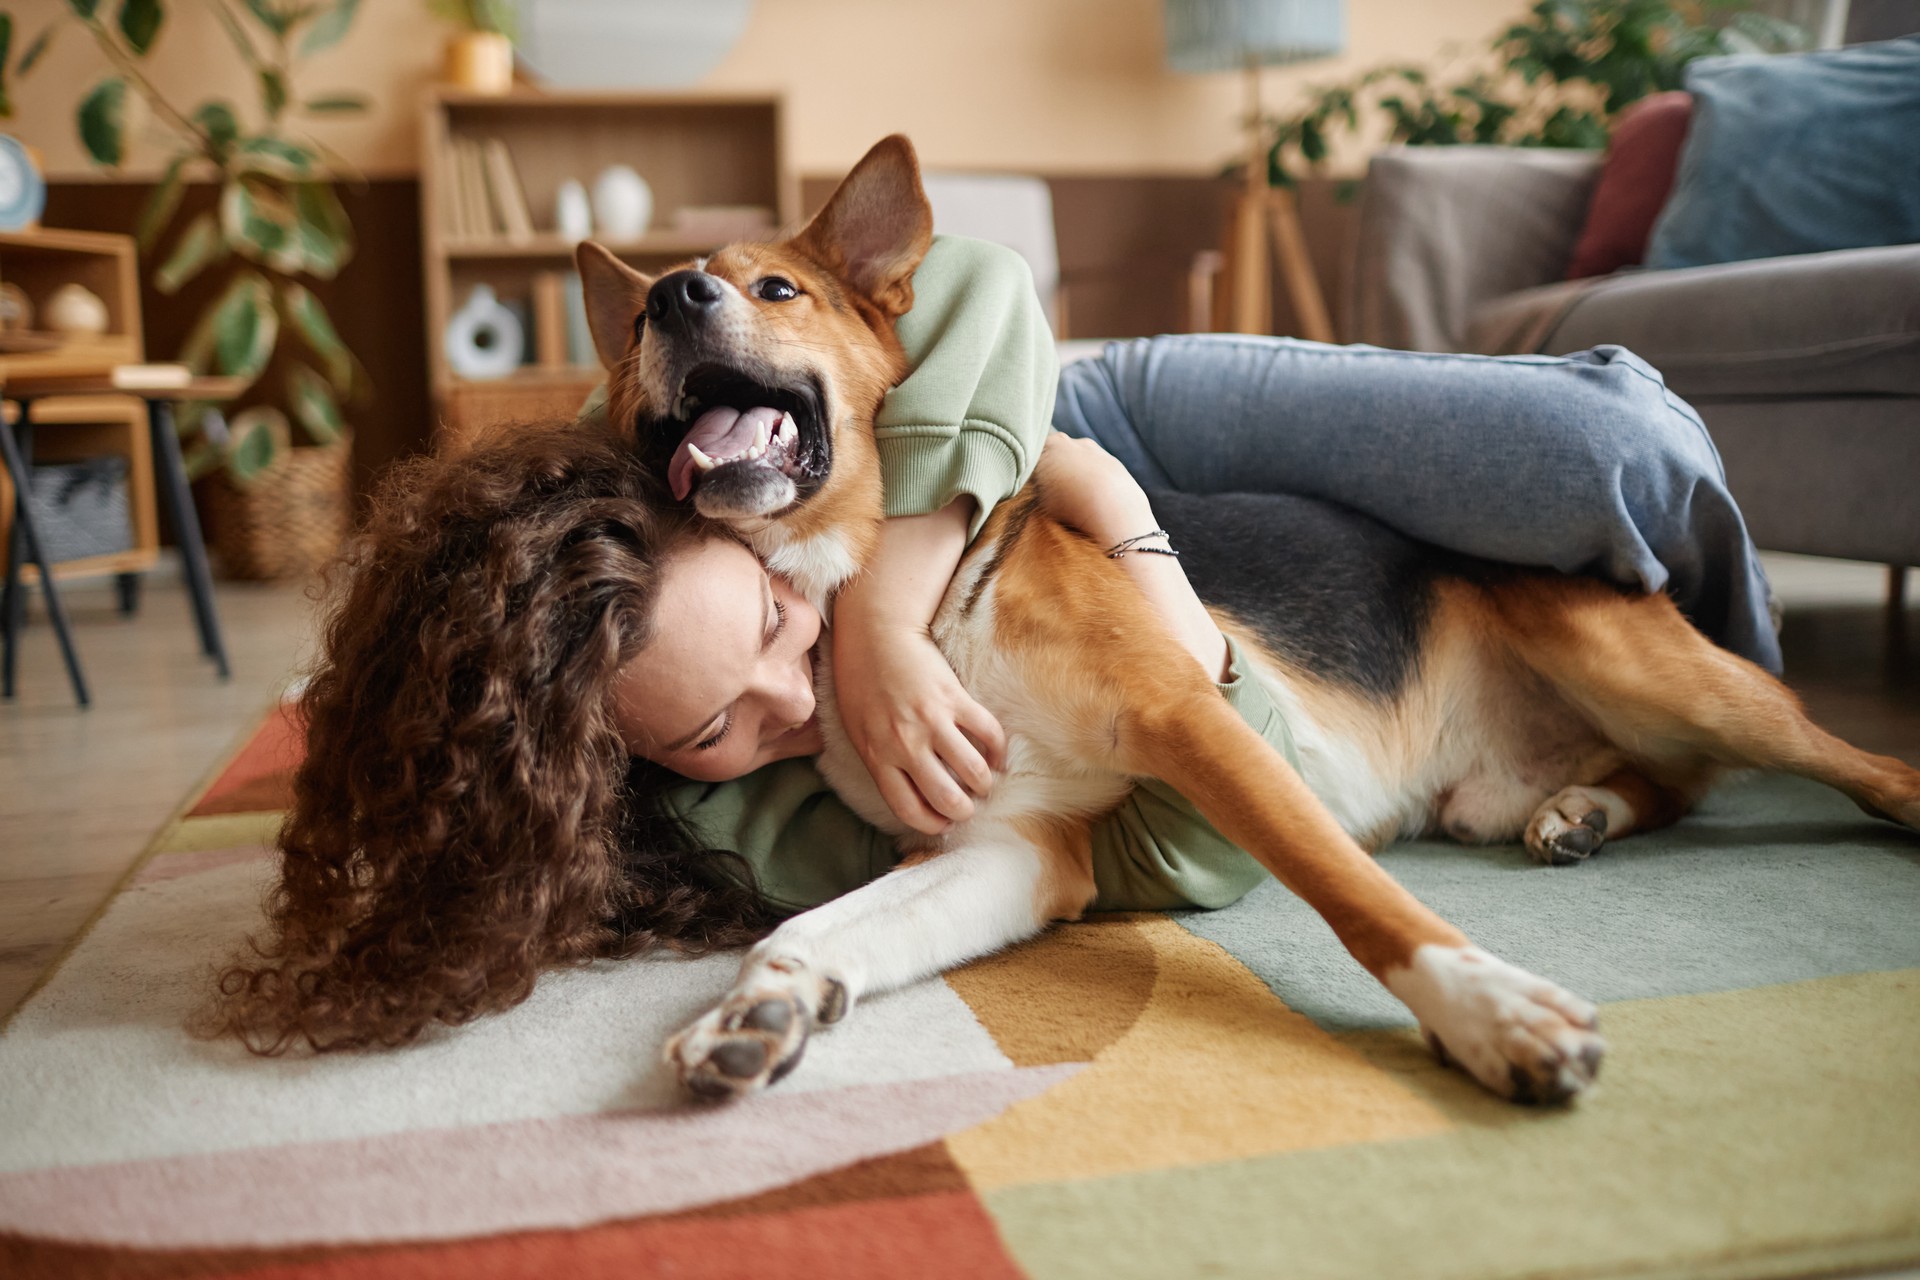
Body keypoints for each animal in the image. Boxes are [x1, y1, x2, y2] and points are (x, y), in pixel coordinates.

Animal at [579, 135, 1920, 1105]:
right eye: (644, 324)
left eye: (777, 287)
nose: (677, 297)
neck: (883, 601)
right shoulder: (1011, 846)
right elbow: (818, 925)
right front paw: (761, 1006)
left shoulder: (1192, 717)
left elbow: (1359, 899)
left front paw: (1488, 1009)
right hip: (1513, 778)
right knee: (1668, 784)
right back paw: (1583, 810)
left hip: (1653, 668)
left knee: (1846, 763)